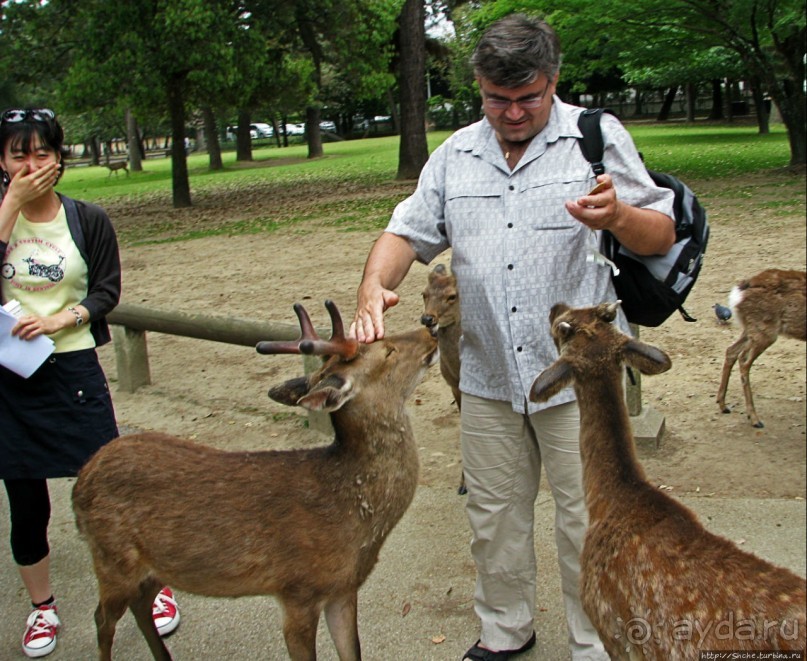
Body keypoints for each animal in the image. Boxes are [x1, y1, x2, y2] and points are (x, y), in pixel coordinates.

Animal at [72, 300, 438, 660]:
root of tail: (81, 482)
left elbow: (353, 652)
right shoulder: (298, 591)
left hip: (150, 567)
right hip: (111, 559)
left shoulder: (343, 589)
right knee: (101, 618)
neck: (353, 524)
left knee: (138, 605)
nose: (429, 329)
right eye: (388, 350)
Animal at [716, 268, 804, 428]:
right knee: (744, 361)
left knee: (731, 351)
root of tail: (737, 295)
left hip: (751, 328)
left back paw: (723, 405)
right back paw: (754, 418)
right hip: (765, 330)